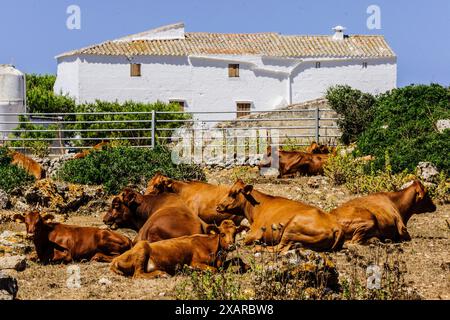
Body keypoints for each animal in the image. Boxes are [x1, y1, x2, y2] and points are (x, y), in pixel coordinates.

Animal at [110, 219, 248, 278]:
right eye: (222, 234)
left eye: (235, 233)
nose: (231, 245)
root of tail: (115, 260)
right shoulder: (195, 262)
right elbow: (214, 270)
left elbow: (237, 259)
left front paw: (245, 266)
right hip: (142, 248)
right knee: (138, 274)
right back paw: (161, 273)